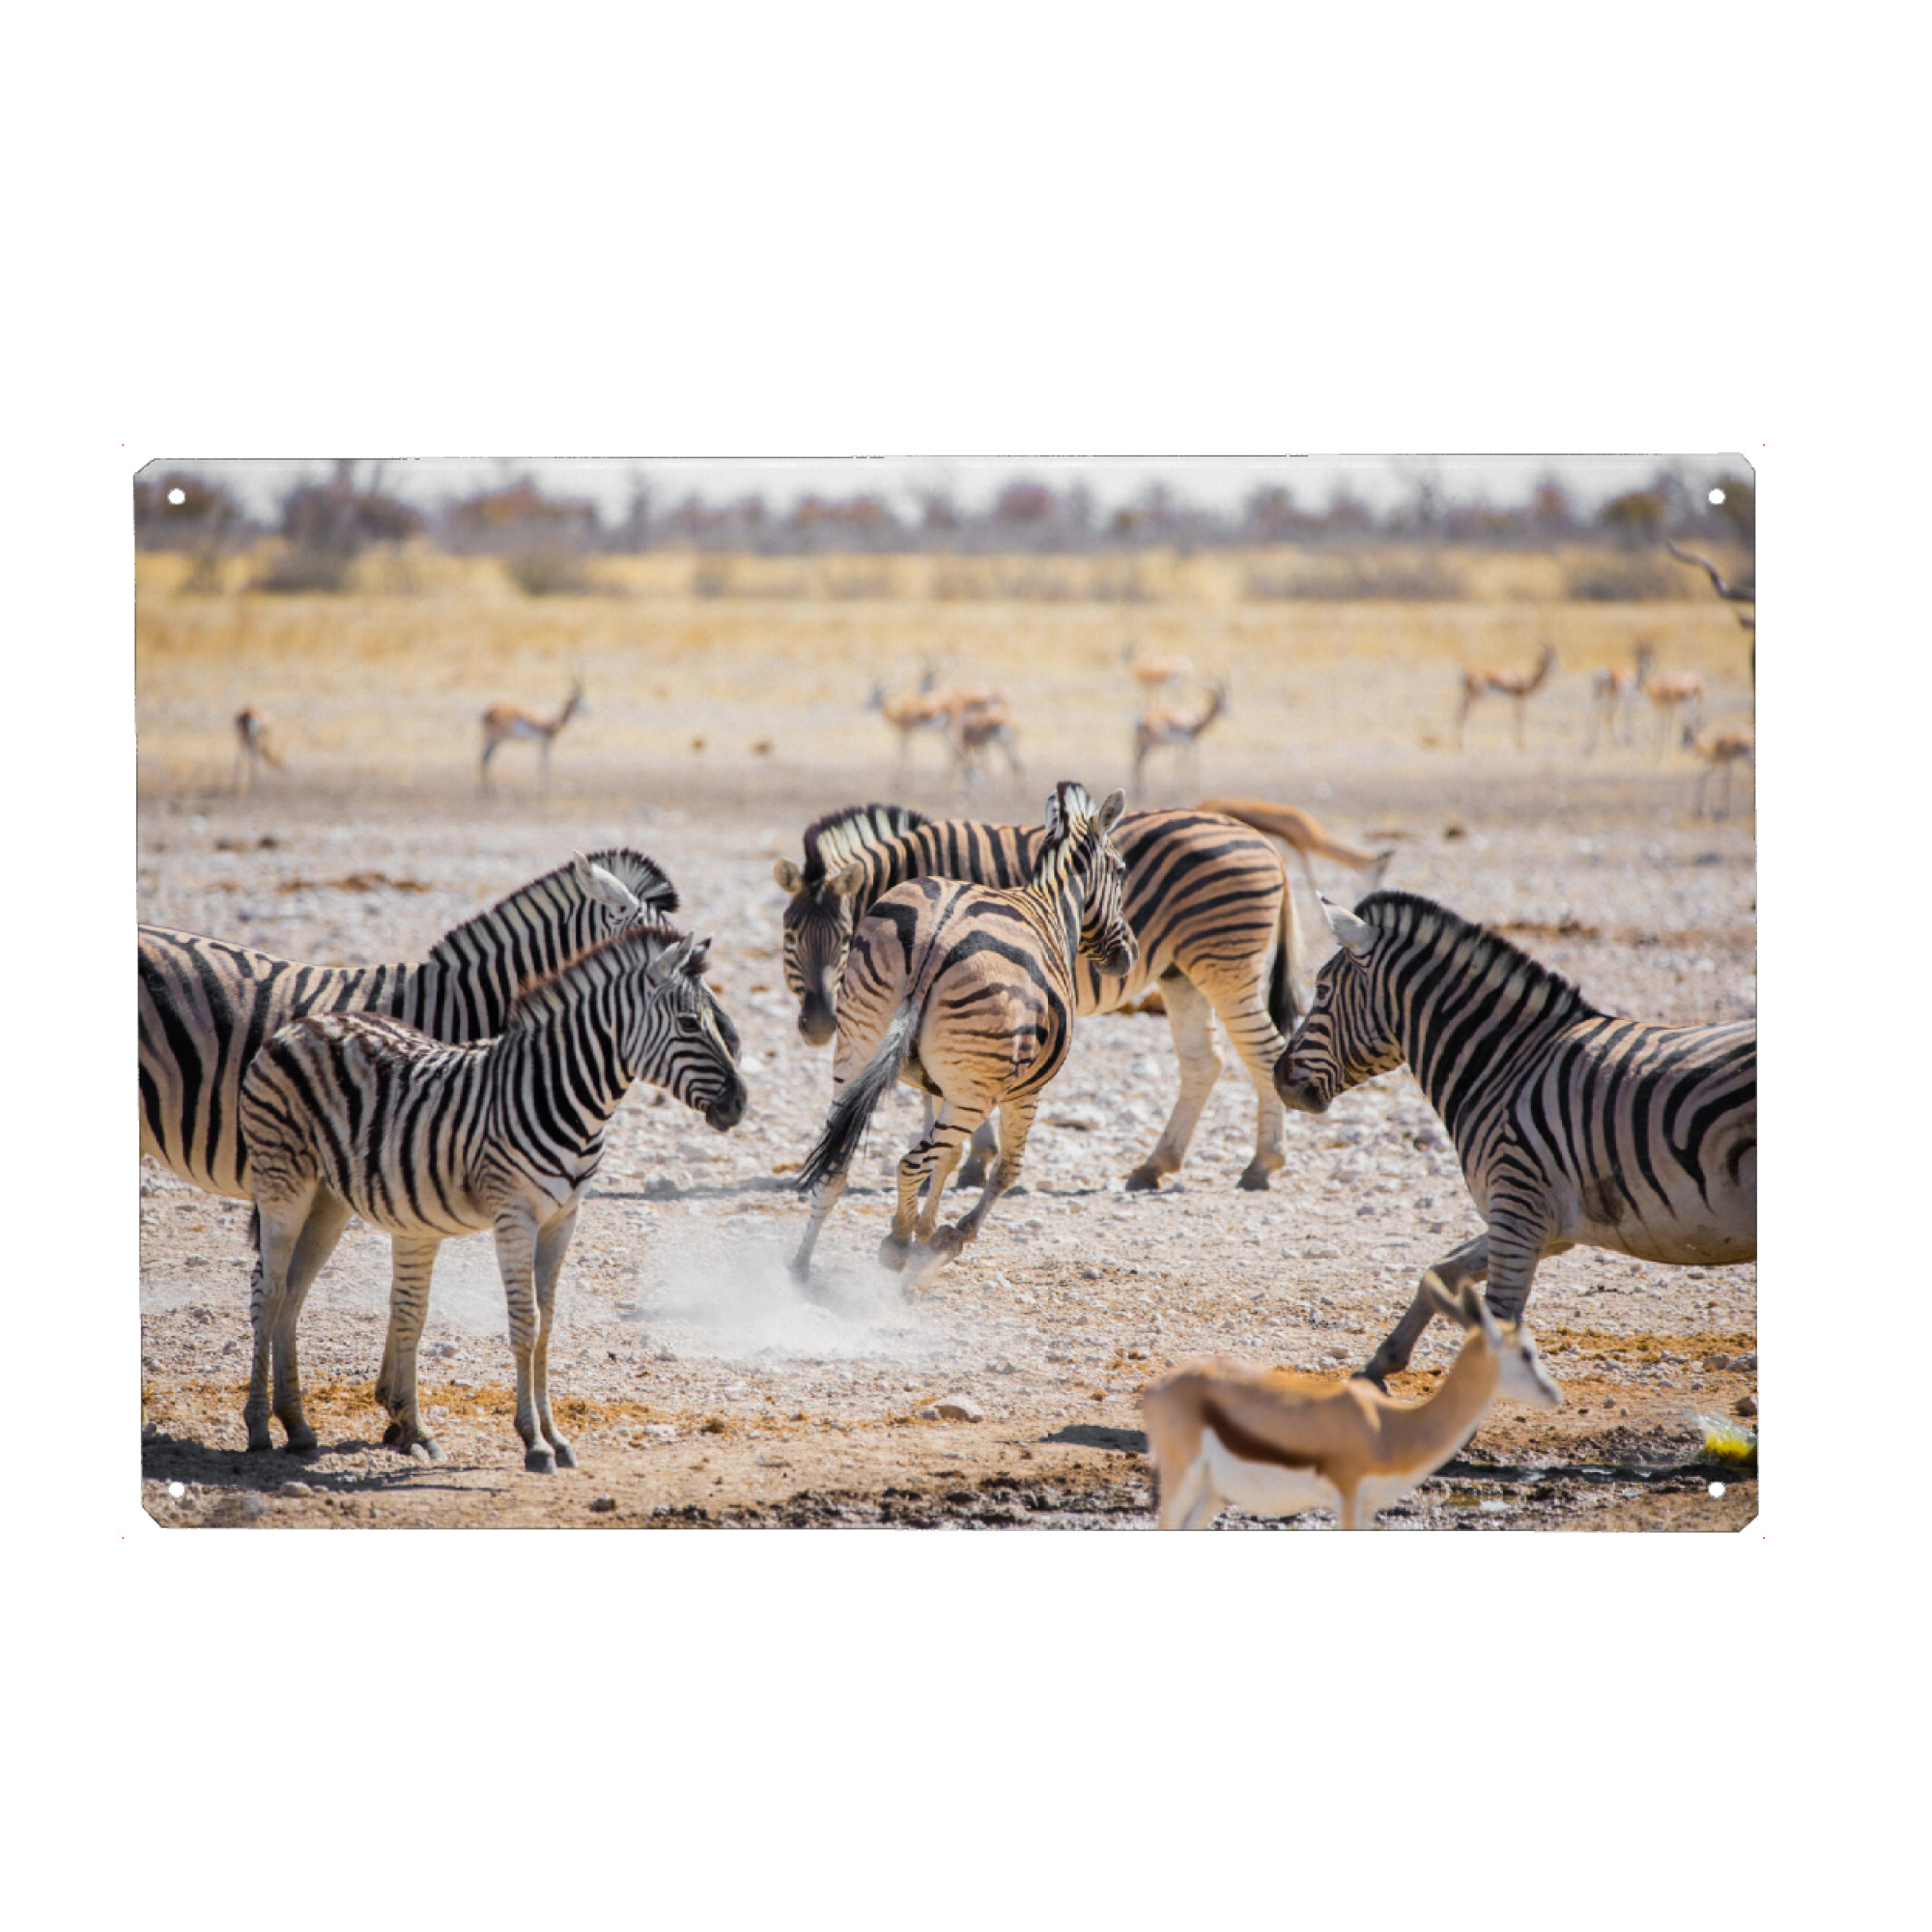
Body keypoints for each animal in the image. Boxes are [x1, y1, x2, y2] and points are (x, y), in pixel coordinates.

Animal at [238, 926, 745, 1473]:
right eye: (691, 1023)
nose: (740, 1103)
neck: (564, 1095)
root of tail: (300, 1025)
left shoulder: (564, 1218)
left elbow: (547, 1325)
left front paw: (556, 1436)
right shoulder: (514, 1215)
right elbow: (526, 1324)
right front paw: (534, 1442)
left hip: (328, 1201)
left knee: (293, 1292)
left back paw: (297, 1426)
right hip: (283, 1183)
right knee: (269, 1291)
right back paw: (259, 1427)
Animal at [773, 799, 1302, 1192]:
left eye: (844, 938)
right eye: (789, 936)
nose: (817, 1027)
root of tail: (1267, 845)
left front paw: (960, 1161)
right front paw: (965, 1159)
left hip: (1224, 965)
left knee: (1264, 1051)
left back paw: (1262, 1164)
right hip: (1182, 974)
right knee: (1203, 1063)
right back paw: (1156, 1165)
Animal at [790, 782, 1136, 1288]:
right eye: (1121, 869)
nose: (1127, 956)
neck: (1051, 907)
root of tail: (937, 935)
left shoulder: (938, 1085)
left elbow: (949, 1159)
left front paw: (925, 1227)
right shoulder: (1025, 1091)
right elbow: (1006, 1171)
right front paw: (943, 1238)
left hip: (856, 1052)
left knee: (837, 1161)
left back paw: (800, 1268)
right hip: (977, 1090)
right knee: (910, 1162)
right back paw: (897, 1247)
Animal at [1273, 889, 1756, 1387]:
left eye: (1322, 990)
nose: (1278, 1076)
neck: (1505, 1065)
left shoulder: (1518, 1205)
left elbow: (1496, 1323)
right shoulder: (1541, 1222)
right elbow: (1440, 1271)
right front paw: (1381, 1363)